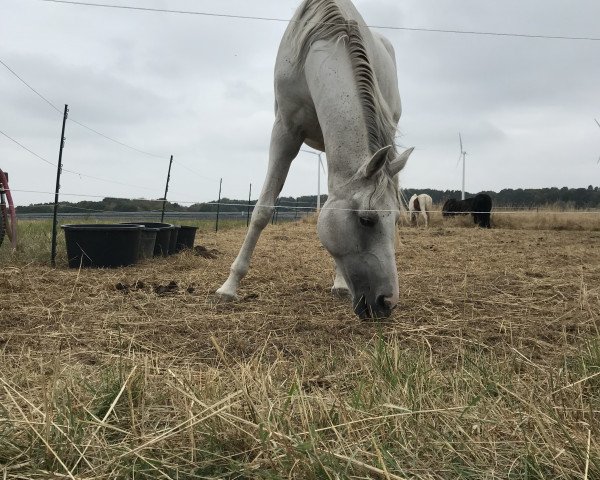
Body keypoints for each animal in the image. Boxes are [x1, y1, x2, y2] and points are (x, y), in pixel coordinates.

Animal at [218, 0, 414, 322]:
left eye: (396, 219)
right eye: (366, 220)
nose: (387, 303)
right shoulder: (284, 130)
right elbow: (262, 210)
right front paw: (229, 287)